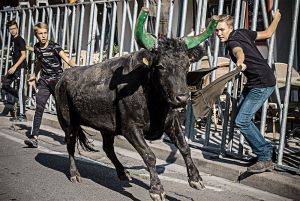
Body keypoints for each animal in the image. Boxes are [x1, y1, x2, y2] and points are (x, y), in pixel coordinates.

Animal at [54, 37, 227, 199]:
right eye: (160, 66)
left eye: (186, 65)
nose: (182, 98)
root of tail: (62, 78)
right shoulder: (131, 128)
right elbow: (149, 155)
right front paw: (157, 190)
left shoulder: (171, 123)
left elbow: (184, 147)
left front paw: (196, 179)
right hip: (68, 122)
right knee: (70, 146)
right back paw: (75, 174)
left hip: (106, 128)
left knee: (108, 148)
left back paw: (123, 172)